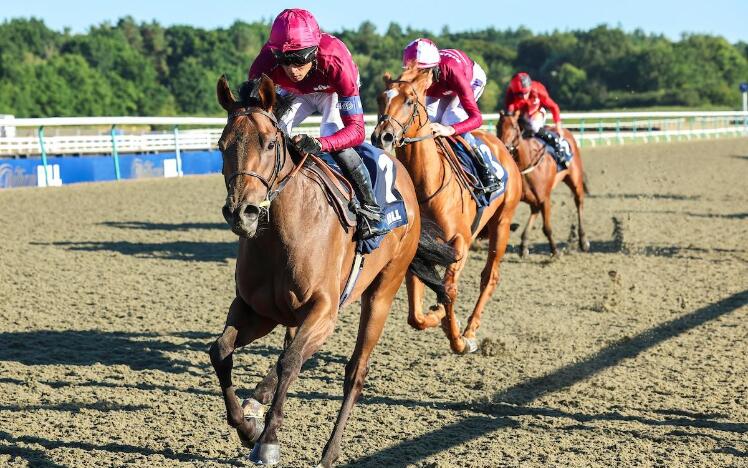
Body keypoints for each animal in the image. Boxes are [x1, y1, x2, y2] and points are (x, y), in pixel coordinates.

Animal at [210, 75, 456, 466]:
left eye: (269, 143)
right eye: (222, 145)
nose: (241, 212)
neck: (281, 234)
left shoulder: (324, 311)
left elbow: (290, 362)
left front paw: (268, 440)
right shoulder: (256, 310)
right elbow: (221, 351)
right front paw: (247, 428)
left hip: (382, 292)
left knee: (355, 372)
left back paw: (329, 451)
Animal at [372, 66, 524, 354]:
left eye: (409, 101)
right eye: (380, 98)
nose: (381, 136)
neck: (427, 184)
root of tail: (500, 145)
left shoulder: (460, 243)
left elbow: (450, 290)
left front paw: (459, 340)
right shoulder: (421, 247)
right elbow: (415, 315)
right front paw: (436, 315)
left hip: (502, 222)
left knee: (489, 277)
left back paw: (471, 329)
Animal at [496, 109, 592, 256]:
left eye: (514, 126)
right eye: (497, 126)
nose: (504, 147)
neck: (527, 163)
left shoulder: (545, 198)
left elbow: (547, 228)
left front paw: (555, 251)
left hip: (574, 179)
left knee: (579, 202)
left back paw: (583, 240)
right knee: (534, 210)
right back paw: (524, 244)